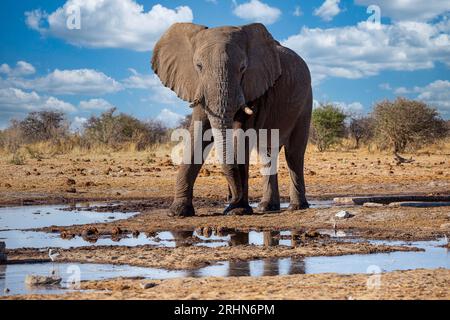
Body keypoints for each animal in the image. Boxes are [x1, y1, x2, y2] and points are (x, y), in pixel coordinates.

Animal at [151, 22, 312, 218]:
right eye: (199, 66)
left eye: (243, 68)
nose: (229, 201)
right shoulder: (198, 85)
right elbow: (198, 135)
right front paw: (178, 212)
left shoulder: (255, 89)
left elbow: (242, 137)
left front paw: (238, 210)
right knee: (267, 153)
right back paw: (266, 207)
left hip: (306, 102)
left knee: (294, 154)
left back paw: (296, 207)